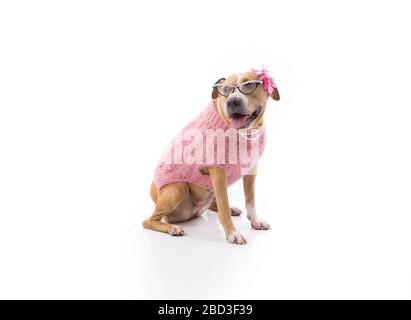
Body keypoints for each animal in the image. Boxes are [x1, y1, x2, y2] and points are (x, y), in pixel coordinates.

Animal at [142, 67, 280, 244]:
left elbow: (250, 200)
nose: (232, 102)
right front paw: (233, 233)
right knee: (149, 220)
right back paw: (172, 228)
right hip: (177, 188)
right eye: (226, 90)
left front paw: (256, 221)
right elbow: (223, 204)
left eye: (249, 85)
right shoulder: (218, 171)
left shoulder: (251, 169)